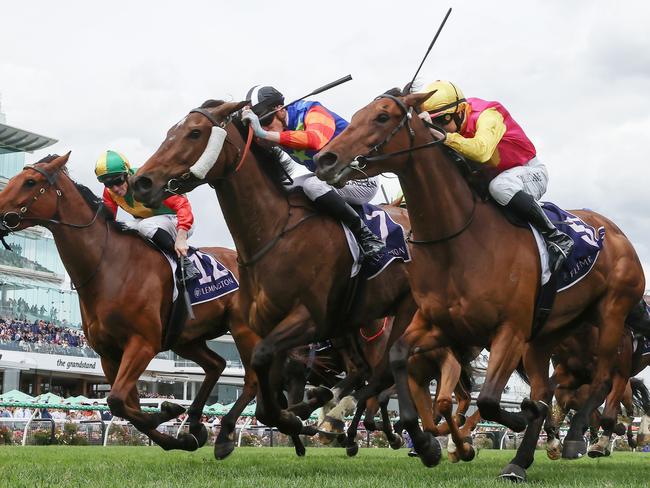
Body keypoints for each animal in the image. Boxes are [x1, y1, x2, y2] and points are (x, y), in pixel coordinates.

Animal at [310, 90, 644, 480]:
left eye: (382, 116)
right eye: (356, 115)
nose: (324, 159)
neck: (461, 241)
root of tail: (616, 233)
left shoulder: (509, 331)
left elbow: (487, 399)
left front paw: (506, 423)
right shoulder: (442, 326)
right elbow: (398, 362)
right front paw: (426, 444)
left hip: (611, 313)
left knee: (605, 378)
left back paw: (576, 437)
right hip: (546, 336)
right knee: (548, 389)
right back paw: (519, 462)